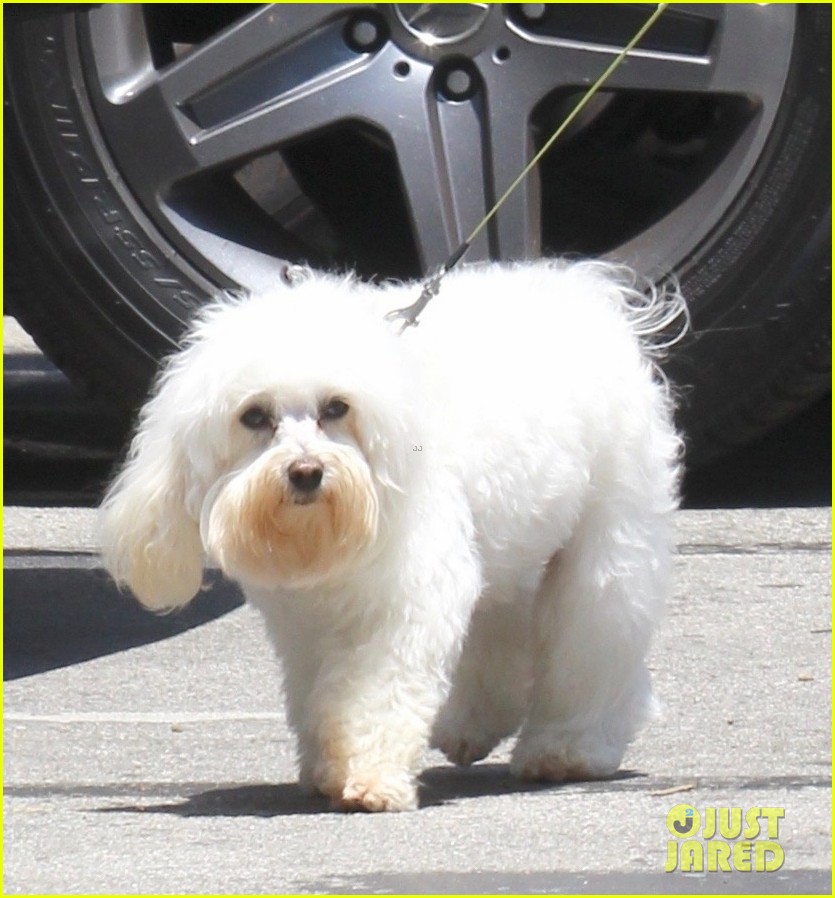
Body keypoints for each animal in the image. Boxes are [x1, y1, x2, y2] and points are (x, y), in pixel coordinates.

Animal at [99, 260, 684, 812]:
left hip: (608, 545)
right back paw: (473, 724)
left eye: (336, 408)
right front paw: (327, 766)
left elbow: (379, 692)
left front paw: (371, 776)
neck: (324, 540)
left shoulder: (405, 601)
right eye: (254, 416)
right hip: (509, 546)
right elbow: (319, 698)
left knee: (593, 640)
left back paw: (570, 745)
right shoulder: (302, 627)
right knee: (505, 630)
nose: (306, 472)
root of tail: (586, 290)